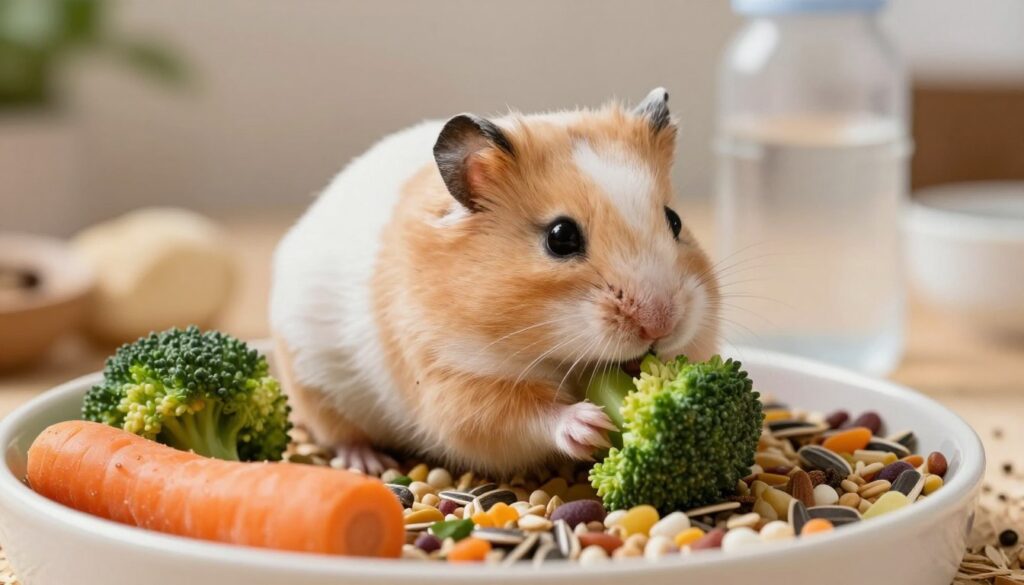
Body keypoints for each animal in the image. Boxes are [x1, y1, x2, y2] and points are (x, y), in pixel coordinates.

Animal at [270, 88, 720, 476]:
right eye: (560, 237)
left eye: (675, 221)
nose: (660, 325)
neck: (552, 353)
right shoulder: (454, 380)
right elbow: (517, 416)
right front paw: (590, 425)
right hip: (315, 391)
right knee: (340, 435)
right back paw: (370, 464)